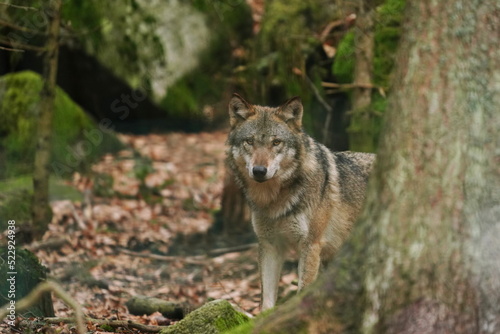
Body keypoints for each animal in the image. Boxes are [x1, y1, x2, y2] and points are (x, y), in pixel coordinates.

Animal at [227, 92, 376, 310]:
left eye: (276, 142)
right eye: (249, 141)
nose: (259, 171)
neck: (275, 201)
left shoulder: (310, 246)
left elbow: (302, 291)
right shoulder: (269, 245)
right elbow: (267, 301)